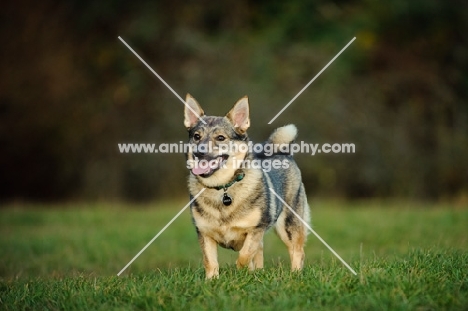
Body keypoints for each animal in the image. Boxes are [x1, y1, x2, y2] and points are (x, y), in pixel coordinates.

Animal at [184, 94, 310, 280]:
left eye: (220, 138)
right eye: (196, 136)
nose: (199, 152)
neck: (223, 188)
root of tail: (282, 152)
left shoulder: (256, 229)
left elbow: (244, 255)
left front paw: (241, 271)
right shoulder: (204, 233)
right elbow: (210, 262)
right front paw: (211, 281)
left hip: (289, 225)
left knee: (297, 251)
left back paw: (294, 275)